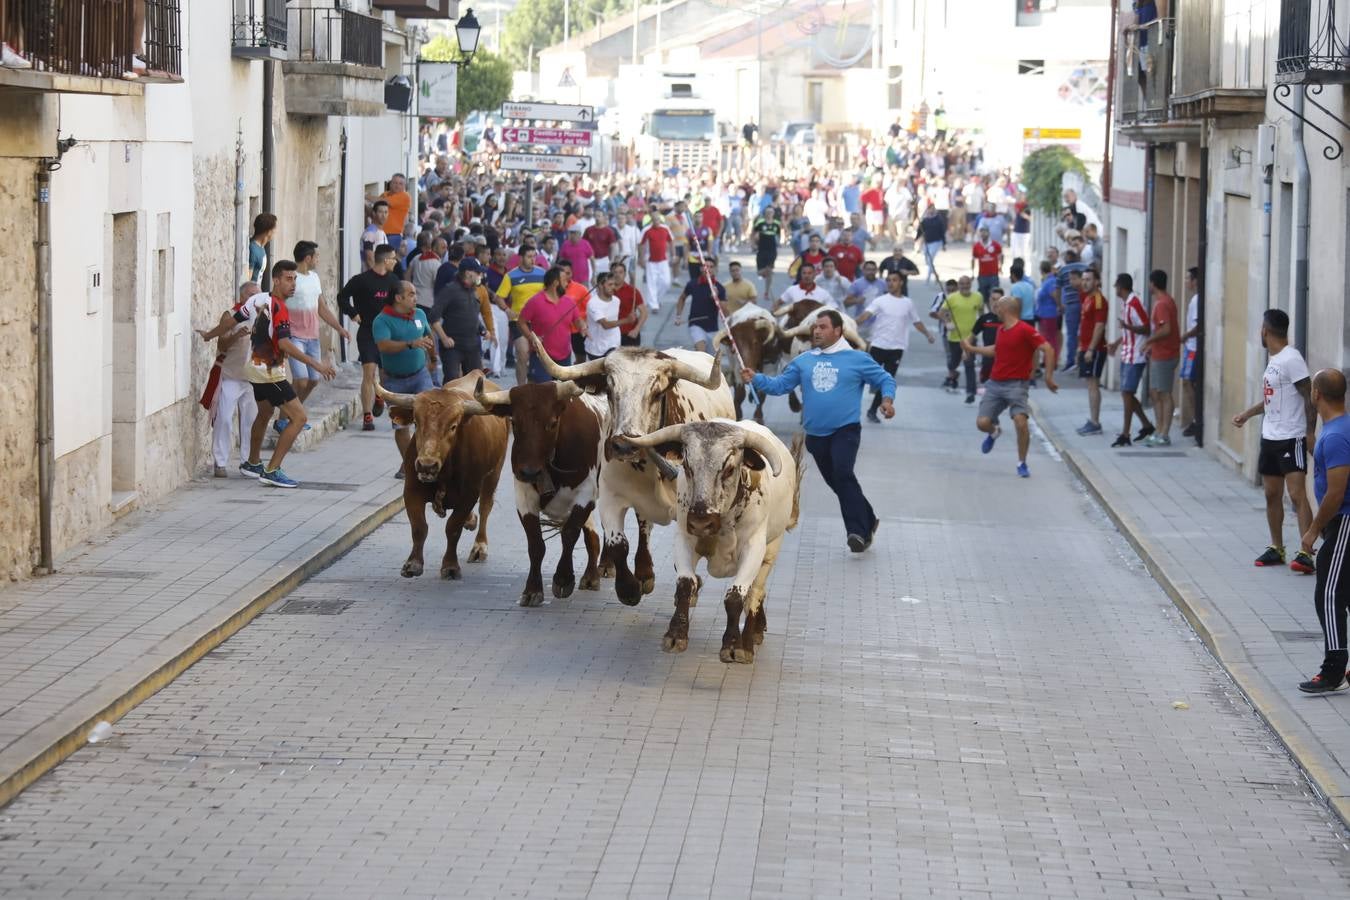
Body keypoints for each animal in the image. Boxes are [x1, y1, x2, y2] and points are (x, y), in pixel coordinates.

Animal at [375, 377, 510, 580]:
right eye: (416, 423)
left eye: (453, 426)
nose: (426, 465)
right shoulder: (411, 490)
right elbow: (419, 527)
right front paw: (413, 564)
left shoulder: (469, 495)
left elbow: (453, 528)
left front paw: (450, 566)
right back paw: (470, 521)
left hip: (494, 473)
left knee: (486, 506)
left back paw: (479, 547)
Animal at [469, 377, 607, 609]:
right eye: (514, 422)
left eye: (552, 423)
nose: (529, 472)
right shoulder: (523, 497)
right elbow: (535, 544)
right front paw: (532, 590)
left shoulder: (585, 494)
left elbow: (569, 533)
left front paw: (563, 579)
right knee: (592, 533)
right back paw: (590, 576)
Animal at [618, 420, 799, 661]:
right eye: (687, 466)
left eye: (729, 469)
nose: (701, 522)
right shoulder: (684, 538)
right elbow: (686, 584)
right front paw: (675, 635)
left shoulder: (754, 549)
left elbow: (736, 596)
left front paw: (733, 645)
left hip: (771, 551)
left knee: (755, 594)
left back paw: (750, 638)